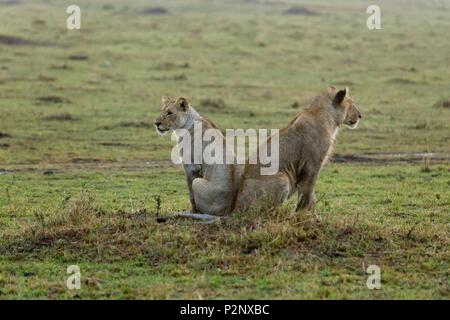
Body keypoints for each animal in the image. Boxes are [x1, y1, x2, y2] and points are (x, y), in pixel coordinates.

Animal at [234, 86, 360, 214]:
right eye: (351, 104)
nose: (360, 116)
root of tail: (236, 207)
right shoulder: (312, 164)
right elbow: (308, 190)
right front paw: (305, 212)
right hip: (282, 178)